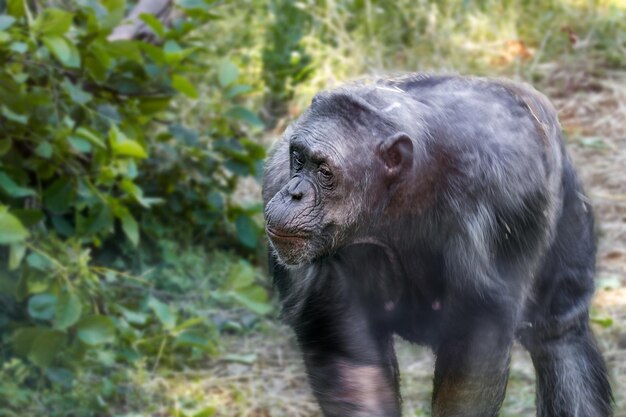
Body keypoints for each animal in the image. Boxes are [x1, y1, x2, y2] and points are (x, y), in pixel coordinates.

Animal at [260, 75, 612, 416]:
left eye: (324, 171)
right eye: (299, 159)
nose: (293, 192)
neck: (406, 186)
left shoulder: (509, 194)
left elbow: (475, 348)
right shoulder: (277, 177)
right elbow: (347, 356)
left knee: (560, 335)